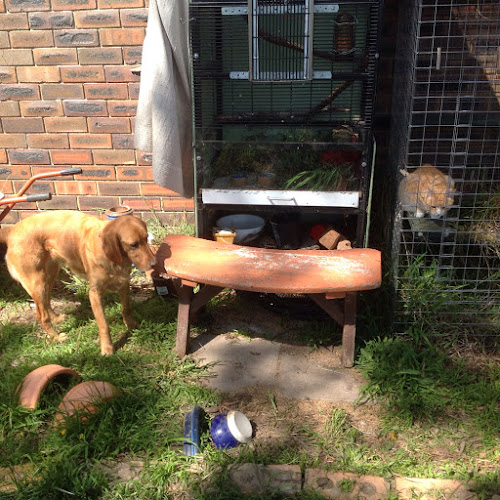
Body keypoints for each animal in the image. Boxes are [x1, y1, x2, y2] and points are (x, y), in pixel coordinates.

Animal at [0, 210, 156, 355]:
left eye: (146, 238)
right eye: (133, 245)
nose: (154, 264)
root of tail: (11, 230)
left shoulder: (123, 283)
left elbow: (126, 309)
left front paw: (131, 325)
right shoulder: (95, 294)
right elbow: (103, 325)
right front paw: (107, 348)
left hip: (50, 274)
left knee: (46, 301)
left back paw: (56, 319)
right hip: (37, 281)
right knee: (41, 315)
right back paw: (56, 337)